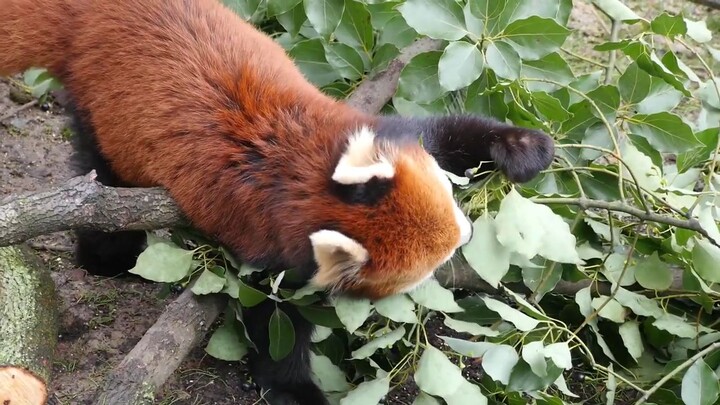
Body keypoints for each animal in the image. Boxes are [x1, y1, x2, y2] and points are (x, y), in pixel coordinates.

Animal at [0, 0, 556, 400]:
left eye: (451, 208)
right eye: (433, 262)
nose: (467, 232)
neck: (300, 175)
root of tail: (87, 17)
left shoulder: (371, 133)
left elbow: (450, 133)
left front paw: (523, 147)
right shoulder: (269, 247)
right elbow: (273, 319)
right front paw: (295, 388)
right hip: (104, 123)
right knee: (103, 182)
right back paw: (106, 256)